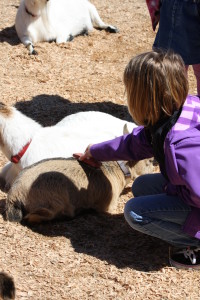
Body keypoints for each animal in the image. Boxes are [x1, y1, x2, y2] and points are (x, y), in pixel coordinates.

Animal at [5, 157, 155, 223]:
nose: (155, 166)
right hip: (54, 201)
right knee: (32, 217)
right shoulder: (107, 206)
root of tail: (14, 194)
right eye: (148, 162)